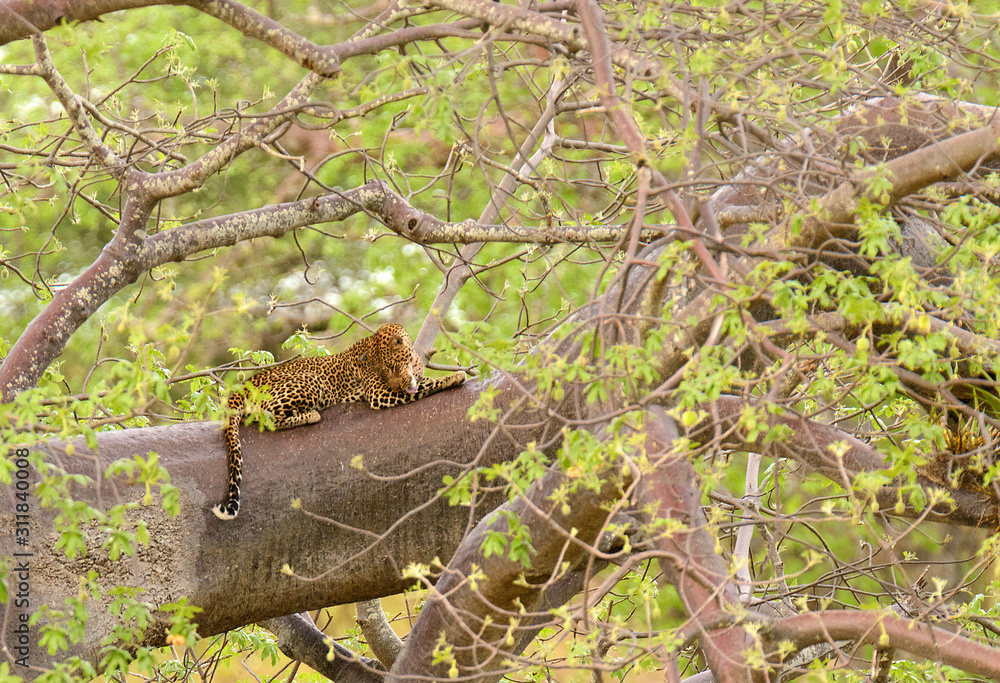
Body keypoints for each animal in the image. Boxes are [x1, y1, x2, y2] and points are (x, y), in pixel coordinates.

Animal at [212, 323, 466, 520]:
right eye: (385, 370)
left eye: (393, 367)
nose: (400, 386)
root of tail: (245, 386)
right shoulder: (378, 393)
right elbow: (426, 385)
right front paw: (455, 376)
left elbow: (422, 382)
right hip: (309, 381)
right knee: (268, 416)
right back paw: (312, 414)